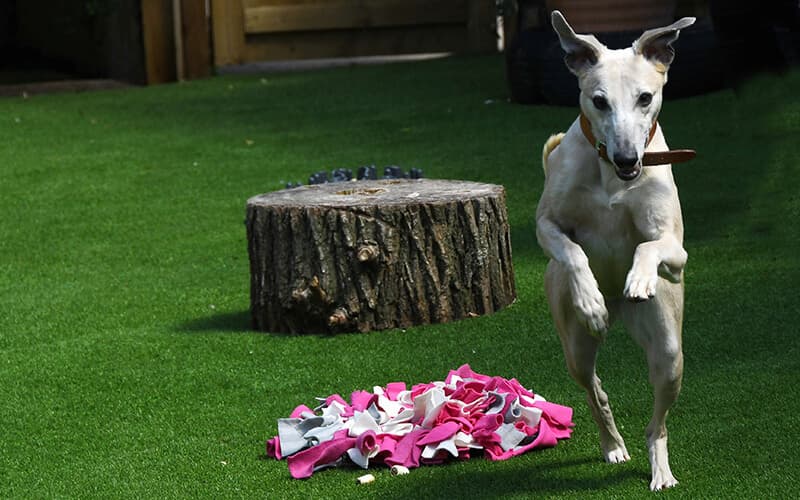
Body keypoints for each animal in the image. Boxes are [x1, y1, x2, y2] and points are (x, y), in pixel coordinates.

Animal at [536, 9, 692, 490]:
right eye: (599, 101)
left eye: (645, 98)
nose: (627, 159)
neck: (609, 175)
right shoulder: (546, 225)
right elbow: (572, 251)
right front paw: (590, 299)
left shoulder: (676, 251)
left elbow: (651, 248)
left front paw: (638, 278)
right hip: (574, 347)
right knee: (594, 390)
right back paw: (612, 443)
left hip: (667, 352)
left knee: (657, 423)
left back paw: (660, 468)